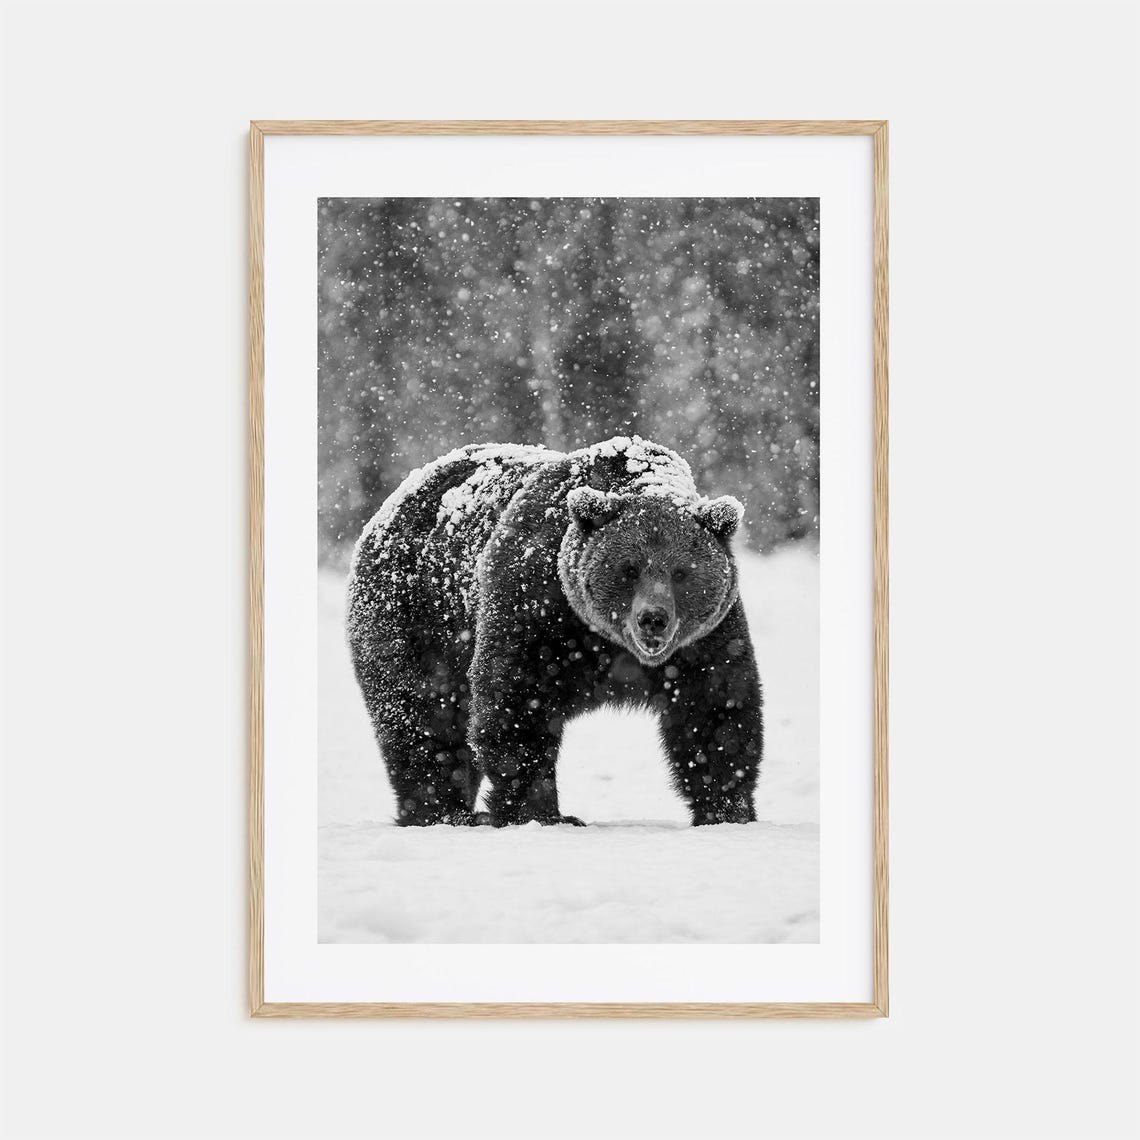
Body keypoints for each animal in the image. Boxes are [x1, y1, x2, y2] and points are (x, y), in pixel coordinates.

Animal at [346, 436, 763, 827]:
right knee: (423, 716)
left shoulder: (705, 640)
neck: (609, 644)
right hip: (416, 617)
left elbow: (716, 712)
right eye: (629, 569)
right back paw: (443, 811)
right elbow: (515, 704)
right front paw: (542, 813)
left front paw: (727, 810)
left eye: (681, 572)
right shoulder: (536, 610)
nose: (653, 618)